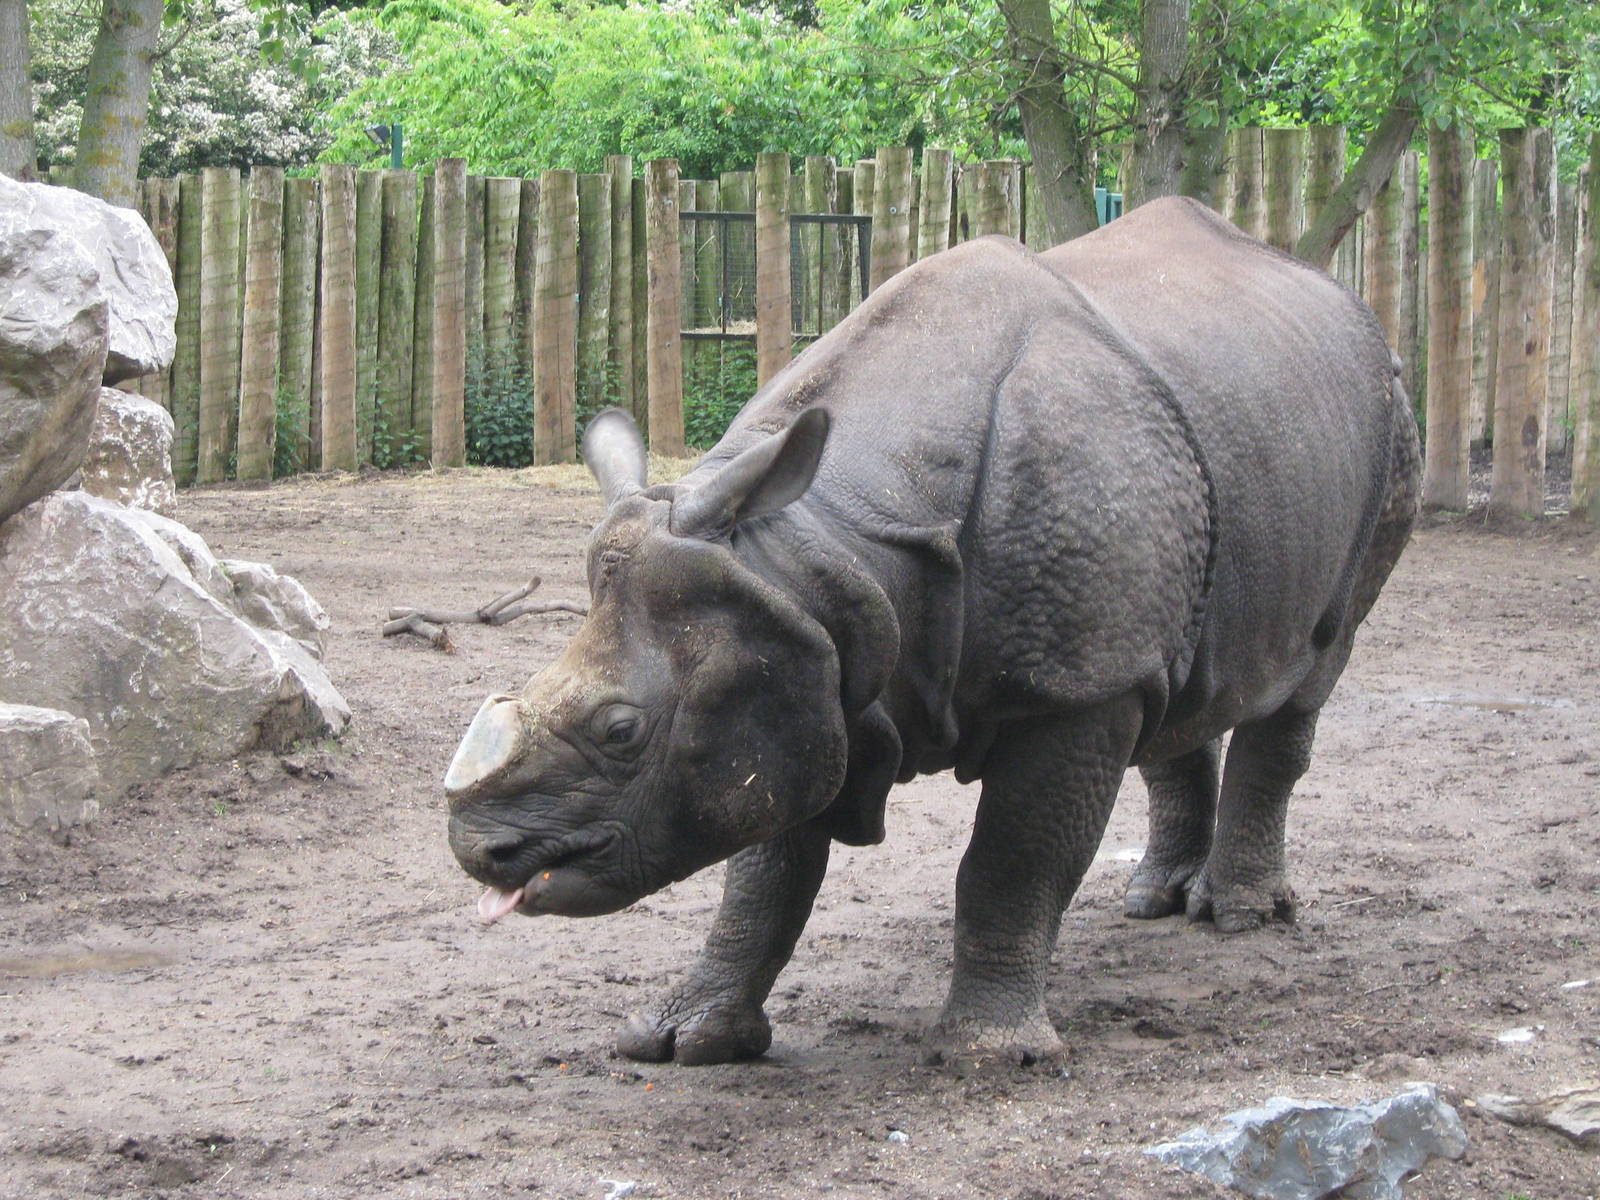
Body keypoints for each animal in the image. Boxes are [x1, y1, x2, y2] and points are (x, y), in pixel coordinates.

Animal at [445, 196, 1420, 1066]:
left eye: (621, 731)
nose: (480, 852)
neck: (822, 546)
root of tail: (1344, 300)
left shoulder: (1067, 690)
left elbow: (1012, 861)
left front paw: (991, 1056)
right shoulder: (796, 654)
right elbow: (765, 868)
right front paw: (686, 1043)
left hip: (1389, 422)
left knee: (1312, 667)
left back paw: (1241, 916)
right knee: (1178, 677)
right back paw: (1153, 901)